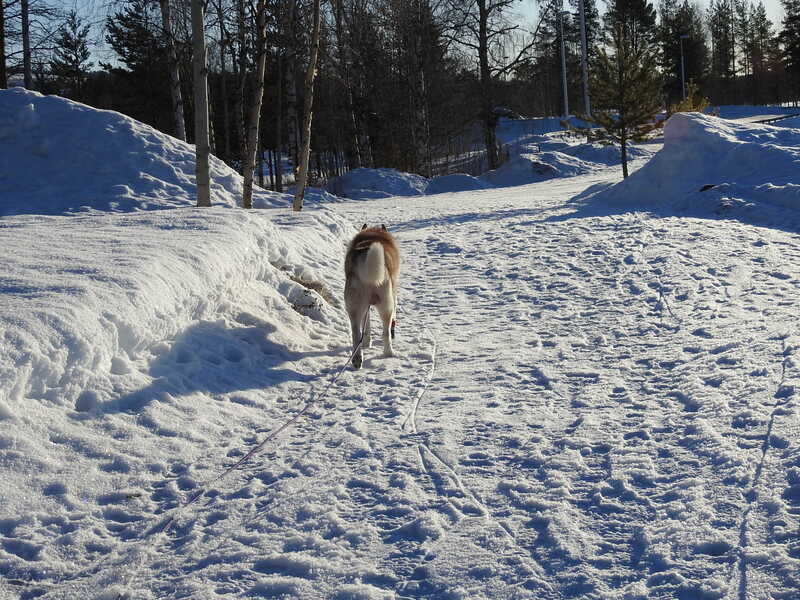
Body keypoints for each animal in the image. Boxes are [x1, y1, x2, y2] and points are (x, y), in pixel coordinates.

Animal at [344, 224, 400, 368]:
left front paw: (366, 342)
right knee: (386, 332)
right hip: (386, 305)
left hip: (355, 307)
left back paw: (357, 358)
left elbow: (367, 325)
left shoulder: (366, 308)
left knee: (356, 333)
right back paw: (389, 353)